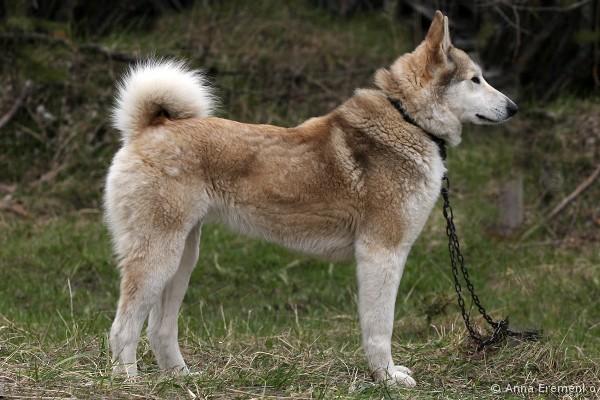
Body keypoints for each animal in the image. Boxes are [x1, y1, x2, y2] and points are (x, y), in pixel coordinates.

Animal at [105, 11, 517, 387]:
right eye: (475, 79)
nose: (513, 108)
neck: (409, 120)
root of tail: (150, 127)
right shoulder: (382, 253)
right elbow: (379, 328)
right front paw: (386, 378)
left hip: (182, 258)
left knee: (159, 328)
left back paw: (181, 378)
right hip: (158, 256)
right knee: (123, 327)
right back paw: (128, 382)